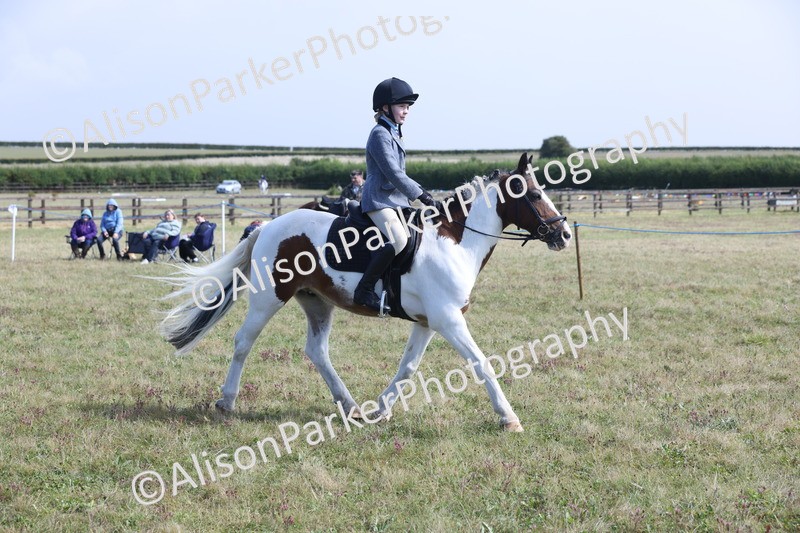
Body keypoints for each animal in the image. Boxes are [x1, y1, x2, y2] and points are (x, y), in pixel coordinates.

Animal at [157, 153, 571, 432]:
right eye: (535, 194)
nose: (564, 234)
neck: (454, 241)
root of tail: (268, 226)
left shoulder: (428, 321)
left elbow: (407, 367)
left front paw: (380, 411)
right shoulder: (448, 320)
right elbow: (481, 362)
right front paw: (509, 418)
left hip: (317, 302)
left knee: (317, 351)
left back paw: (351, 406)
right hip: (268, 298)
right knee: (244, 342)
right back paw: (227, 401)